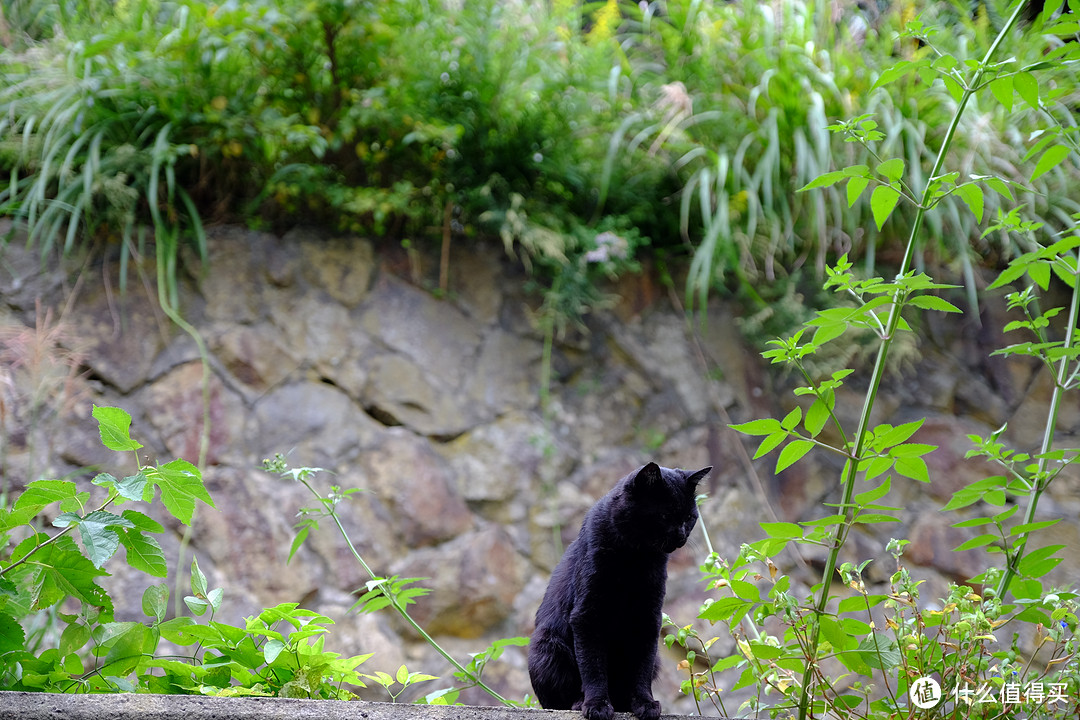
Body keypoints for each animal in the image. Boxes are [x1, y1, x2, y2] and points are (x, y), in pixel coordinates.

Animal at [527, 462, 712, 720]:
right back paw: (578, 703)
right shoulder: (587, 615)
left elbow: (640, 669)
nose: (681, 536)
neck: (635, 556)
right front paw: (597, 705)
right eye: (665, 516)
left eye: (690, 518)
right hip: (547, 647)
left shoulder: (648, 617)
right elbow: (593, 666)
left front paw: (645, 703)